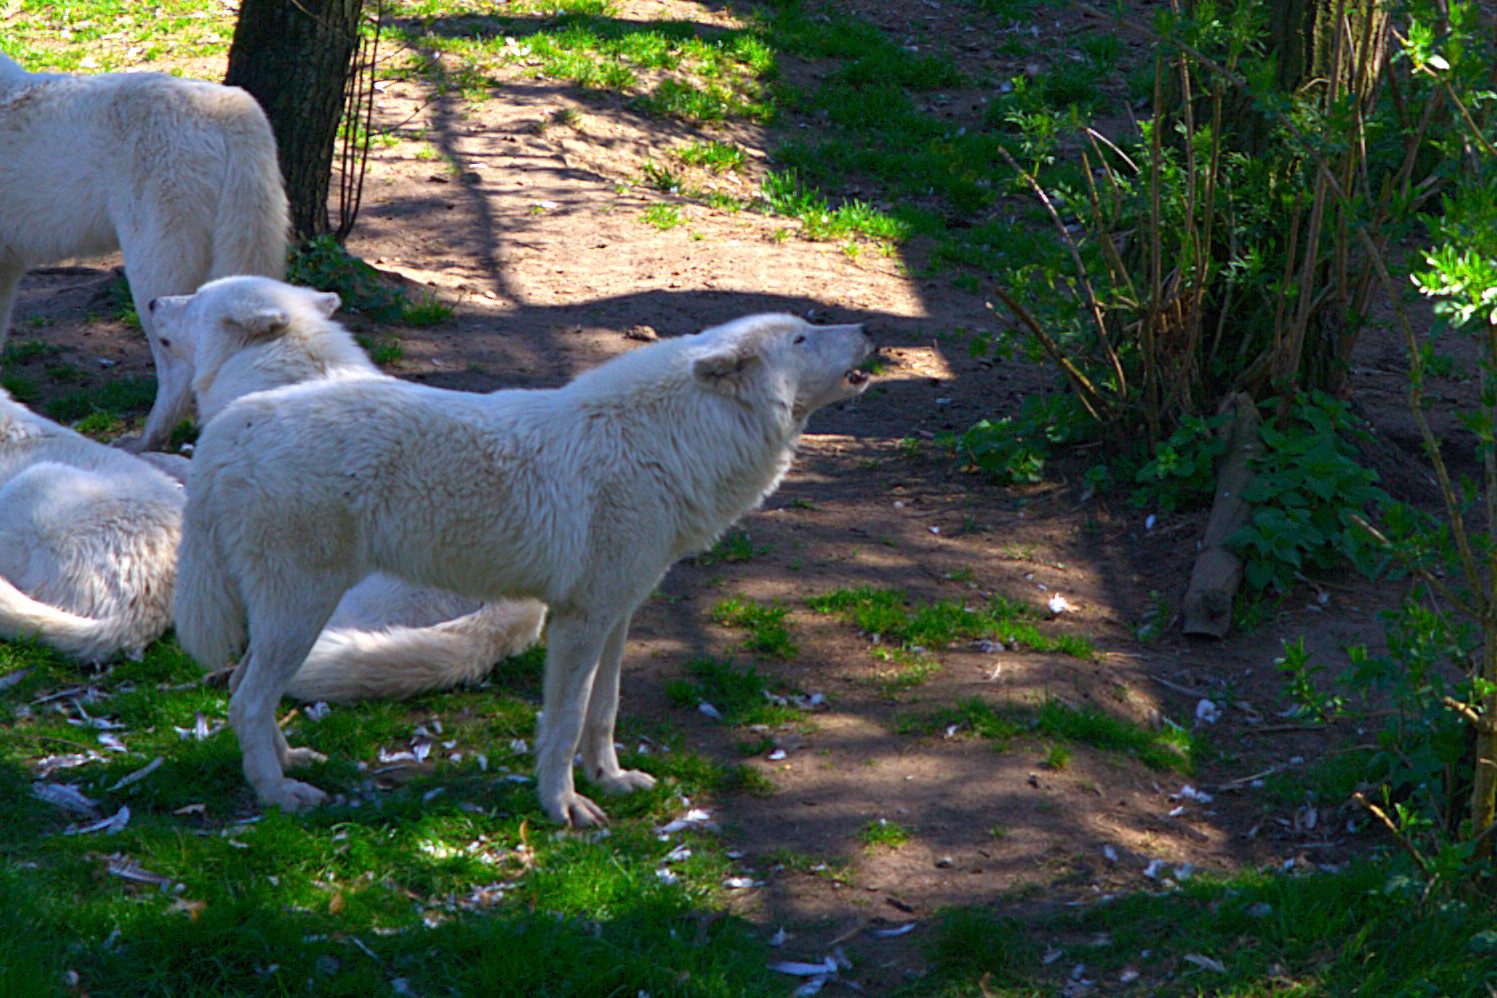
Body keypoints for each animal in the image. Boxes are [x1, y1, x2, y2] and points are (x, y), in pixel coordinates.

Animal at [174, 303, 873, 825]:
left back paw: (290, 762)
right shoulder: (579, 622)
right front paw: (563, 807)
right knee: (246, 698)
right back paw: (277, 794)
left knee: (243, 688)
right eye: (803, 336)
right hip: (303, 612)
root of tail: (232, 425)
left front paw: (611, 780)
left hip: (292, 617)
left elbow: (604, 711)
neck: (669, 442)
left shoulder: (616, 615)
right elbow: (564, 723)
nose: (870, 329)